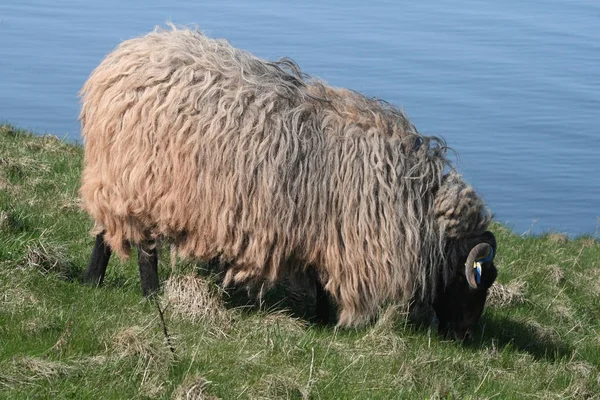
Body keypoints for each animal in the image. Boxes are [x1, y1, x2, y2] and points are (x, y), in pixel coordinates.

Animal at [82, 25, 500, 338]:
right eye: (477, 282)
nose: (465, 336)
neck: (415, 203)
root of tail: (120, 60)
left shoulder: (318, 231)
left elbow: (318, 278)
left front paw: (320, 317)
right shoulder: (334, 235)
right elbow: (324, 282)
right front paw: (327, 320)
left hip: (116, 179)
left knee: (104, 233)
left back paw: (92, 281)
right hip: (140, 183)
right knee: (144, 249)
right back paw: (151, 295)